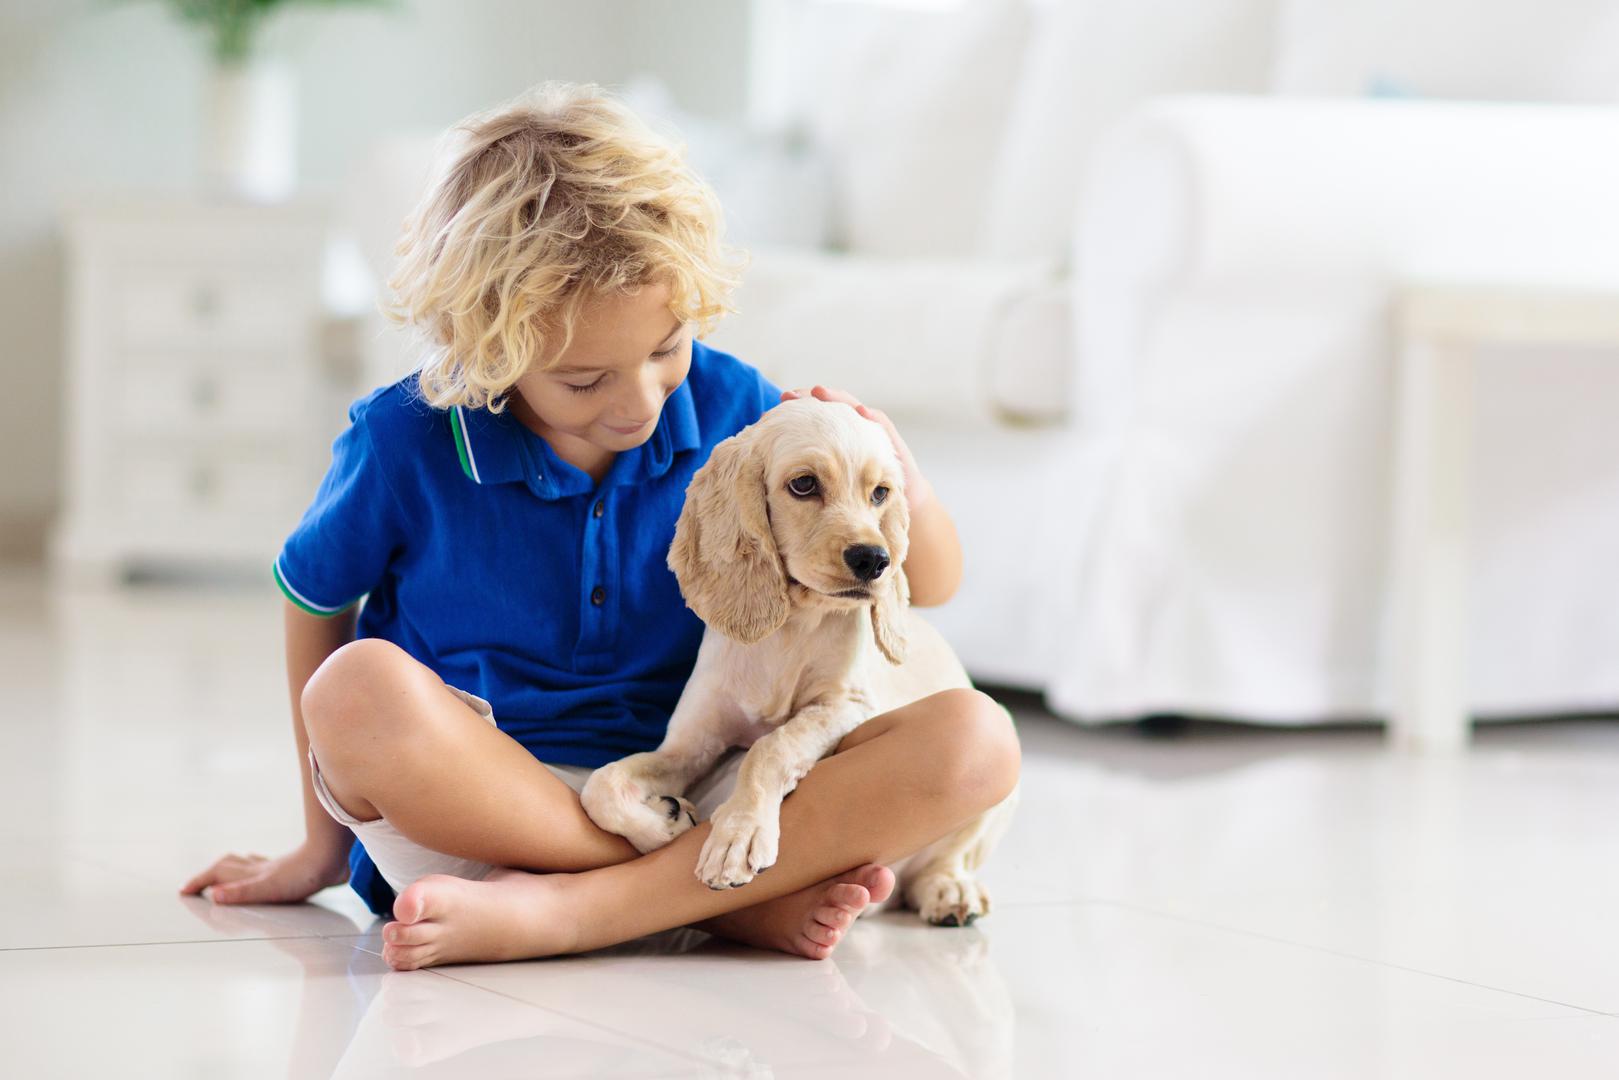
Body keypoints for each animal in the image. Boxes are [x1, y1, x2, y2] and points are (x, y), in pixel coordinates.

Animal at [579, 401, 1010, 926]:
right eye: (803, 484)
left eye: (881, 493)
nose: (875, 560)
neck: (794, 626)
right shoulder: (688, 744)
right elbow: (600, 785)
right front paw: (663, 825)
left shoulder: (847, 706)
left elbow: (772, 746)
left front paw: (738, 836)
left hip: (996, 758)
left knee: (951, 854)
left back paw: (949, 891)